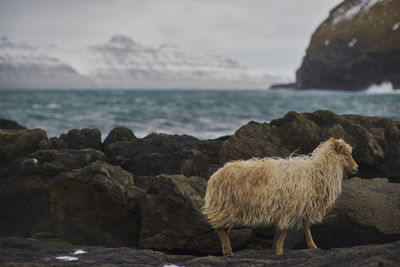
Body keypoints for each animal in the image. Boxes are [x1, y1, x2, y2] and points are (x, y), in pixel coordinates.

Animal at [203, 138, 360, 255]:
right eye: (346, 154)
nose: (356, 168)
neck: (318, 171)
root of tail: (215, 176)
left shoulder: (302, 203)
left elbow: (305, 225)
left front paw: (312, 246)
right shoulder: (292, 206)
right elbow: (287, 228)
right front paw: (279, 249)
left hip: (225, 207)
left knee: (223, 229)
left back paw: (227, 251)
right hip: (224, 206)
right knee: (220, 228)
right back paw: (229, 251)